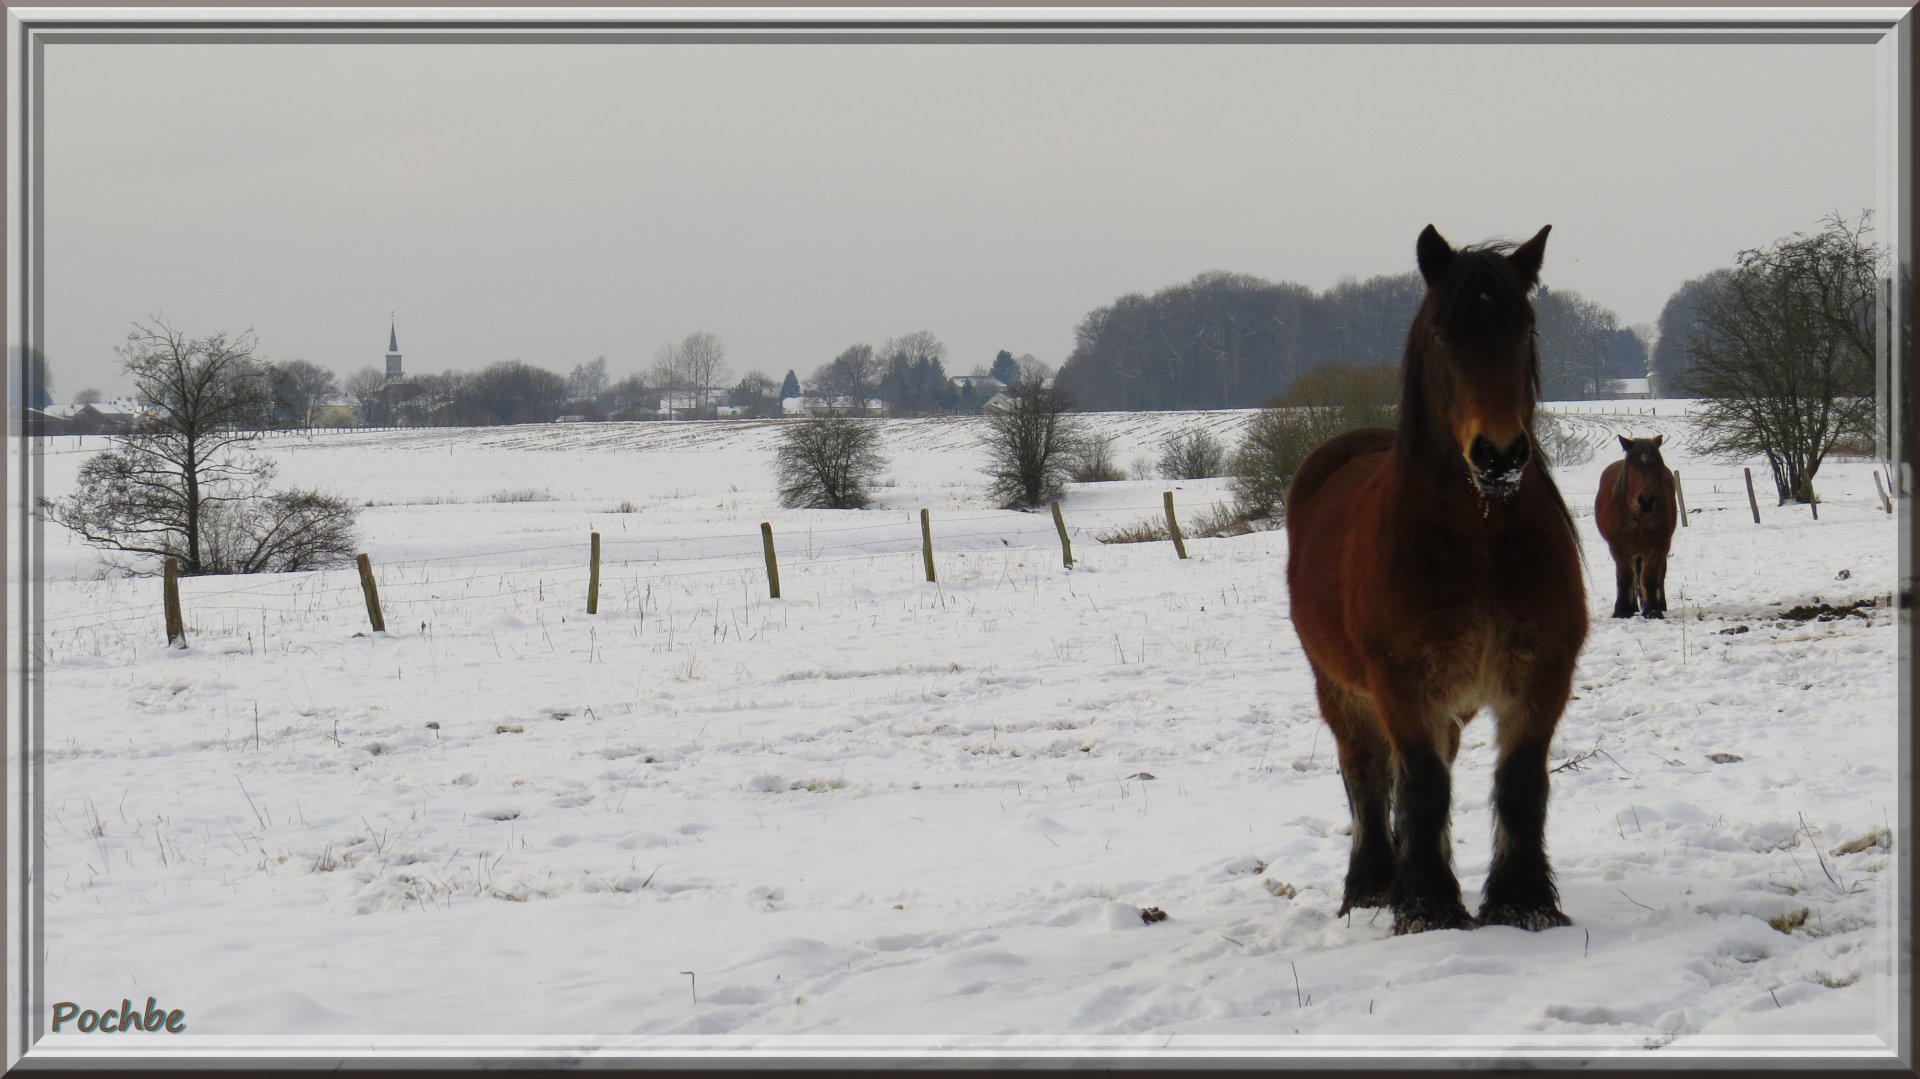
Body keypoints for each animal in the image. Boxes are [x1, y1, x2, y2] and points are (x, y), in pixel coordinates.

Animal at [1290, 224, 1589, 933]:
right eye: (1440, 334)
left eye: (1525, 328)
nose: (1500, 455)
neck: (1477, 540)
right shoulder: (1402, 684)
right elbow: (1421, 786)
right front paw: (1427, 905)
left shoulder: (1541, 676)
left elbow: (1520, 784)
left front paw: (1522, 901)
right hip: (1341, 691)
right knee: (1367, 777)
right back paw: (1372, 884)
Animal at [1589, 433, 1681, 618]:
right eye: (1633, 466)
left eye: (1657, 464)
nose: (1647, 501)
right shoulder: (1618, 547)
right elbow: (1625, 578)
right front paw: (1623, 610)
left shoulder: (1658, 546)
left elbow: (1650, 578)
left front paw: (1652, 610)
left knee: (1659, 576)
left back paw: (1659, 604)